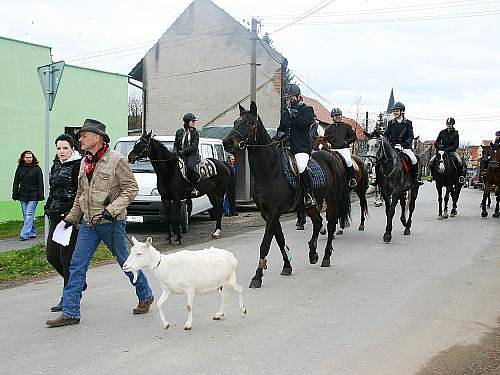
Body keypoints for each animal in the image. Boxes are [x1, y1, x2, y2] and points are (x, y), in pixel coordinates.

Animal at [223, 101, 352, 290]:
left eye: (249, 123)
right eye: (234, 122)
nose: (227, 142)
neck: (269, 169)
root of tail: (333, 157)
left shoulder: (274, 212)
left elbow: (265, 244)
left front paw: (257, 276)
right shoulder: (267, 213)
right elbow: (279, 239)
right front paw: (287, 266)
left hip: (332, 199)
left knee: (330, 225)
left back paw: (326, 257)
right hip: (310, 205)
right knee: (318, 222)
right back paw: (313, 253)